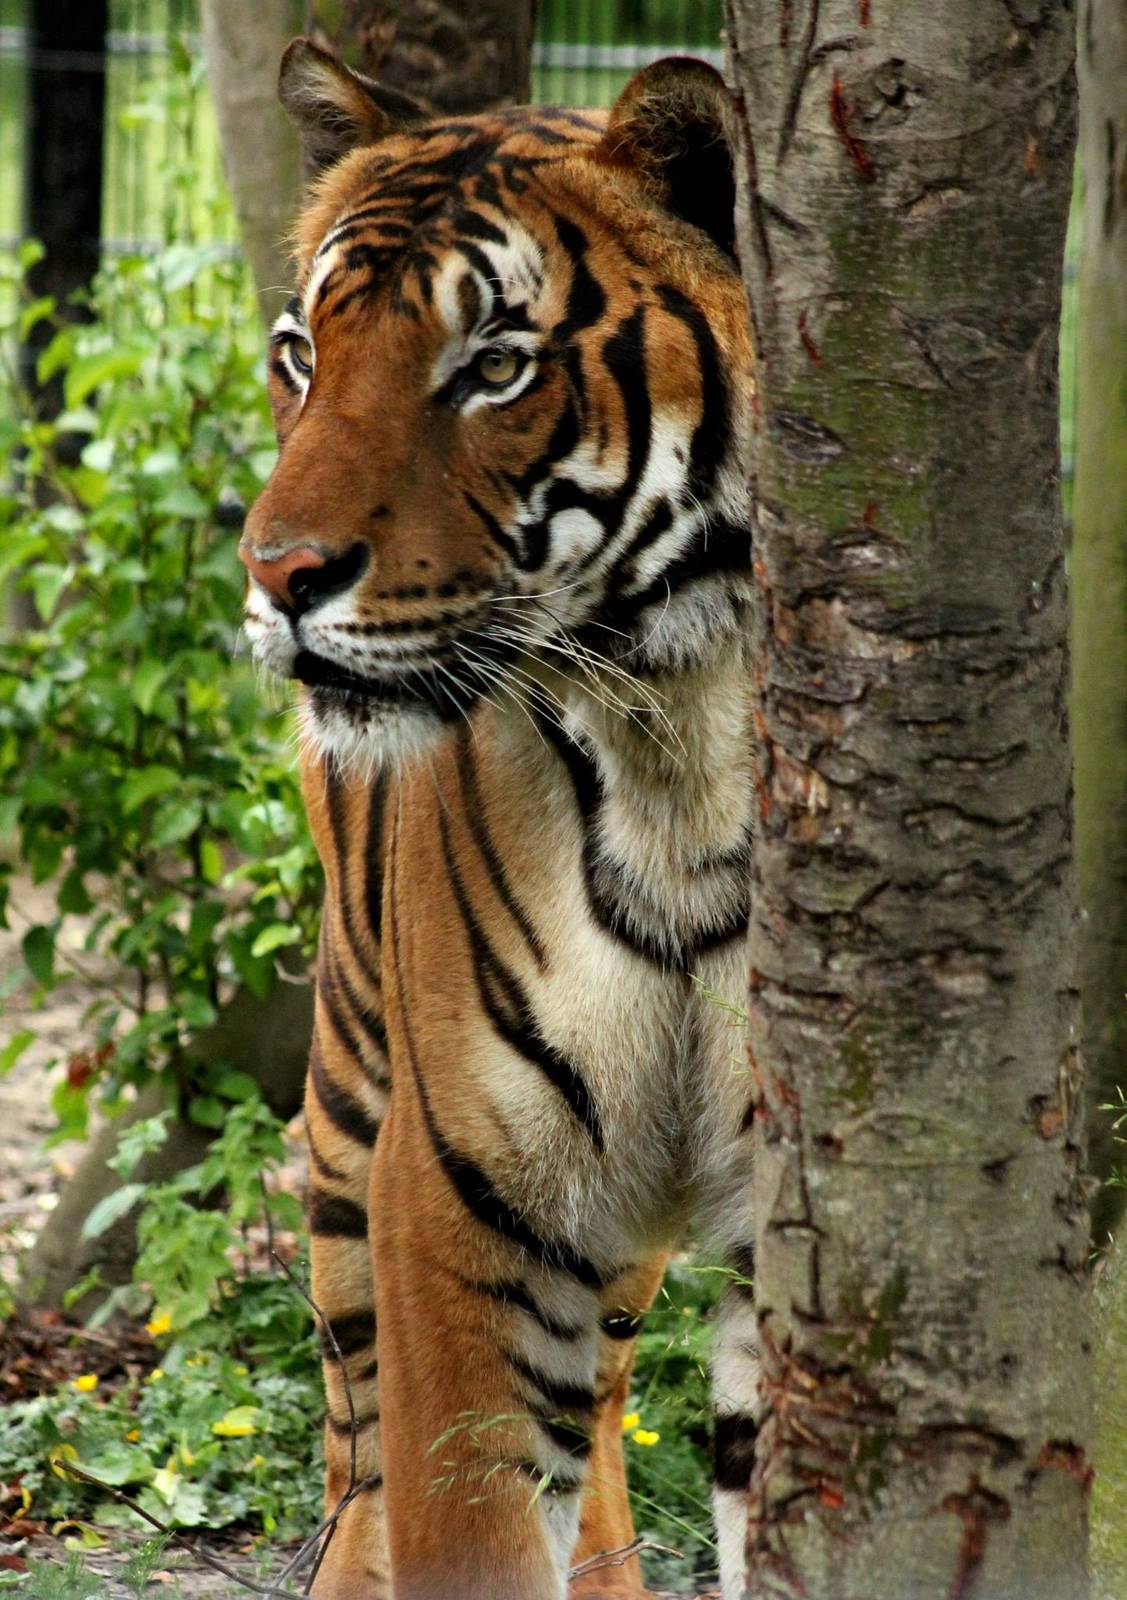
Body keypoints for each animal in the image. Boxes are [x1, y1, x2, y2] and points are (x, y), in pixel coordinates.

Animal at [239, 36, 760, 1600]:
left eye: (492, 367)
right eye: (302, 354)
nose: (275, 573)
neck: (675, 729)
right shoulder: (460, 1184)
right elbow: (456, 1508)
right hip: (348, 1103)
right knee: (355, 1440)